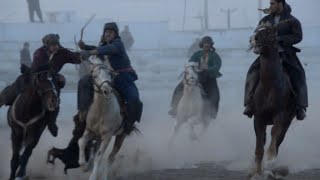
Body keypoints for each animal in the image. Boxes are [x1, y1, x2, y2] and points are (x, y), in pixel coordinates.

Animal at [249, 22, 296, 179]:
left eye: (269, 32)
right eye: (257, 30)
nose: (253, 39)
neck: (270, 84)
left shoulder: (280, 115)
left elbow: (275, 134)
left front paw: (269, 160)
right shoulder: (258, 117)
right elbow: (259, 147)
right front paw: (257, 173)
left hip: (288, 120)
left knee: (279, 140)